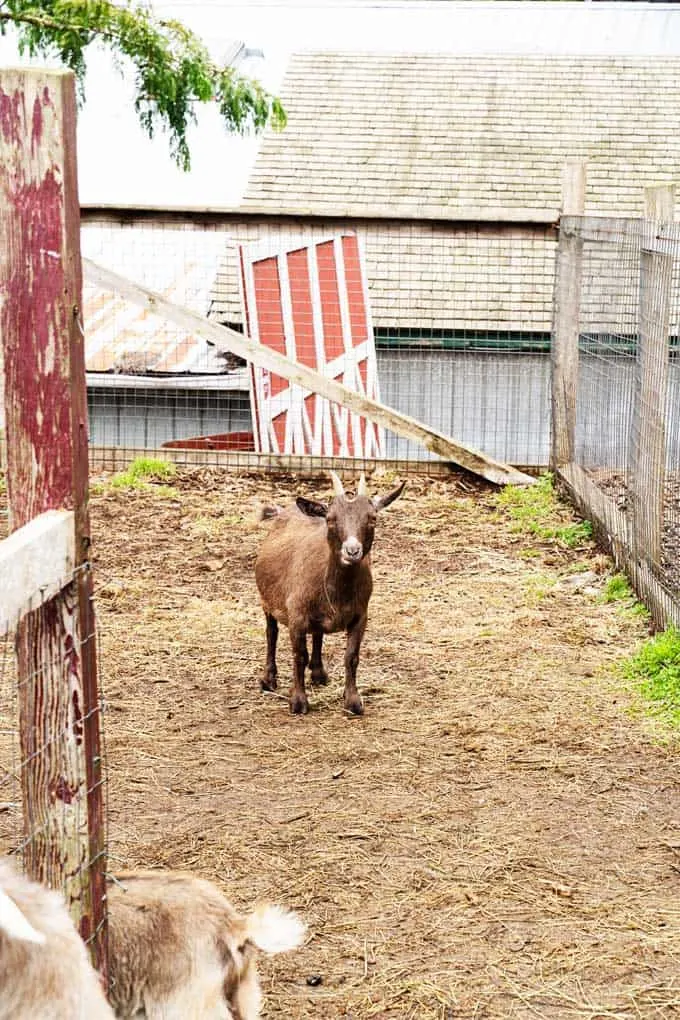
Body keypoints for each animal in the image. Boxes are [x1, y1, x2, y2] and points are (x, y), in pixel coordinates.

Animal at [254, 471, 403, 718]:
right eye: (331, 519)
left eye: (372, 518)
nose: (352, 551)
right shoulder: (296, 616)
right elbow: (299, 655)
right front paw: (298, 702)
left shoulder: (360, 616)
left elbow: (351, 656)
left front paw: (353, 701)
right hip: (267, 601)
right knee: (271, 633)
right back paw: (268, 679)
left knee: (317, 634)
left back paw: (318, 673)